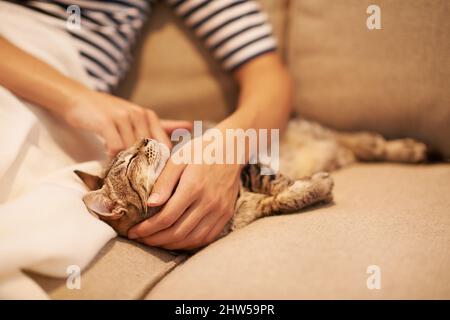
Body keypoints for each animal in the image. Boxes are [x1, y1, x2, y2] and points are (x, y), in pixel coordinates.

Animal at [75, 120, 428, 240]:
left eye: (133, 150)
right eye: (130, 161)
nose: (146, 138)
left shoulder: (247, 166)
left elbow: (277, 182)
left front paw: (309, 185)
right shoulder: (255, 208)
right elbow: (284, 198)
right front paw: (313, 188)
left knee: (366, 140)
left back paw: (410, 149)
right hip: (338, 151)